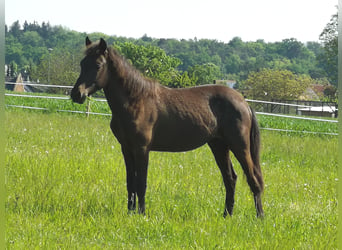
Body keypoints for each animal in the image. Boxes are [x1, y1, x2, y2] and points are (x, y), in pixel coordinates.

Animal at [70, 36, 264, 217]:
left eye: (97, 65)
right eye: (82, 63)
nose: (76, 94)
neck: (136, 100)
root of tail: (243, 102)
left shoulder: (142, 149)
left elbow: (141, 183)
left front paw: (141, 214)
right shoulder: (126, 148)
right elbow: (130, 183)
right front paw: (130, 213)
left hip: (240, 147)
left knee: (253, 179)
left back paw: (259, 218)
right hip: (219, 146)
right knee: (230, 179)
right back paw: (226, 215)